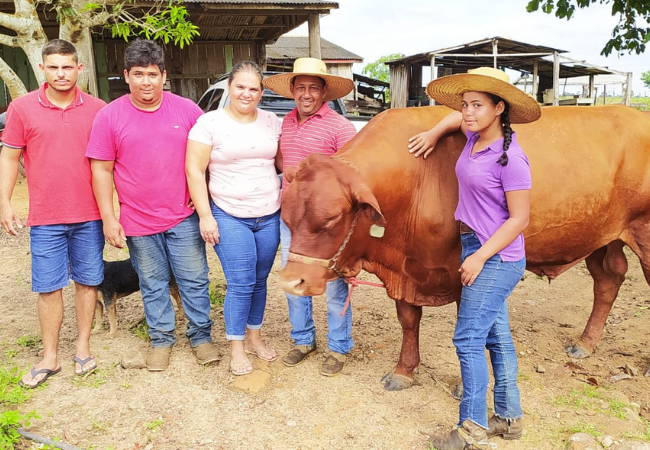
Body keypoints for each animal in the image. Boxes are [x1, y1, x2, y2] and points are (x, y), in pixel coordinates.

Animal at [278, 104, 648, 390]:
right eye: (286, 214)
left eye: (333, 217)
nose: (292, 281)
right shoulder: (406, 268)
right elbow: (409, 320)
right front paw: (404, 371)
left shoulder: (464, 274)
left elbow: (468, 329)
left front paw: (461, 385)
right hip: (603, 239)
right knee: (609, 280)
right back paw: (585, 343)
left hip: (642, 234)